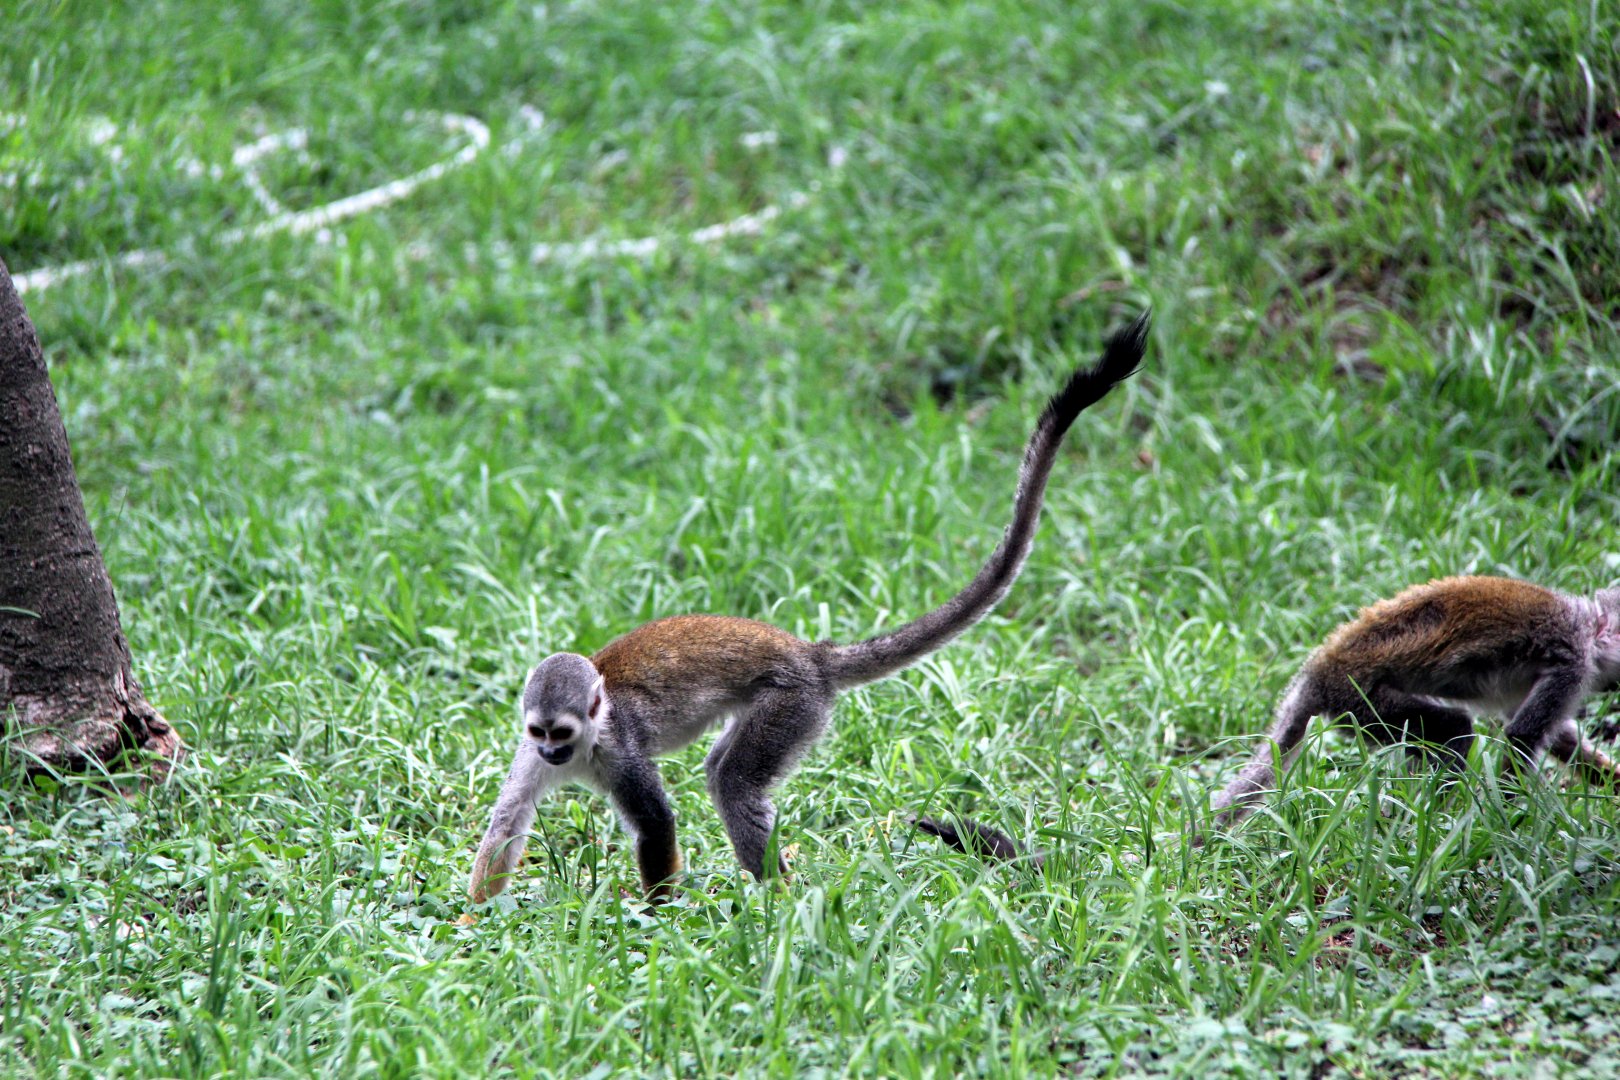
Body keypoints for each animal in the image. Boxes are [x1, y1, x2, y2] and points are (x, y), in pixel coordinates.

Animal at [466, 313, 1149, 905]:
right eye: (542, 733)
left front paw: (656, 917)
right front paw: (475, 917)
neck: (587, 744)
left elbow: (657, 825)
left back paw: (779, 898)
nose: (554, 756)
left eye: (564, 733)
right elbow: (509, 820)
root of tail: (811, 654)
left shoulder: (622, 749)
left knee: (732, 779)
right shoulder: (525, 753)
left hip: (792, 700)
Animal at [1208, 576, 1620, 833]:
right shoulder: (1573, 663)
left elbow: (1559, 738)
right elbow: (1522, 735)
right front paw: (1504, 821)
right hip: (1358, 700)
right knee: (1455, 730)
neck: (1589, 629)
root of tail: (1318, 668)